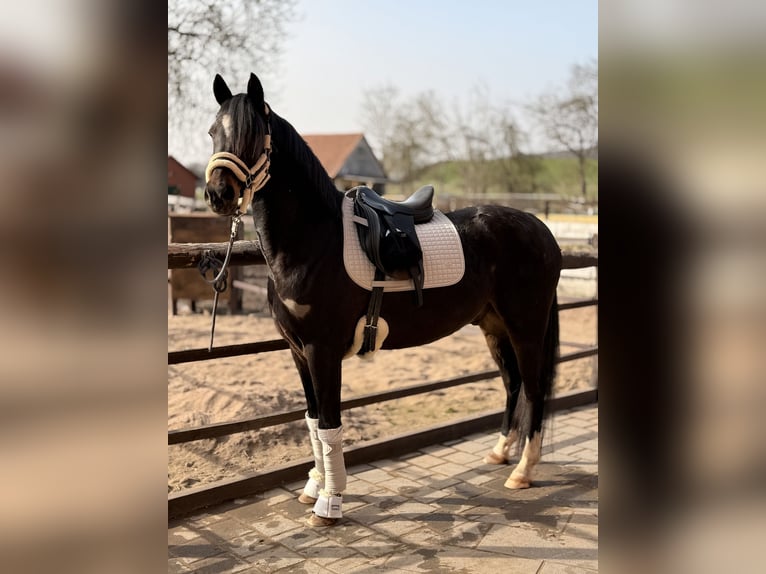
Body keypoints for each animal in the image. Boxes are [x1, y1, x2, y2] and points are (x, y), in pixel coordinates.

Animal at [204, 73, 562, 527]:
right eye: (213, 132)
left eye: (252, 134)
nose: (218, 194)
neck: (314, 241)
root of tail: (541, 228)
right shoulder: (298, 351)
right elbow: (311, 420)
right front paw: (313, 488)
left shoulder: (322, 351)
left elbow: (329, 423)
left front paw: (330, 503)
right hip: (494, 328)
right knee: (513, 384)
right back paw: (500, 453)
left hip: (526, 329)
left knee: (534, 389)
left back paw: (523, 471)